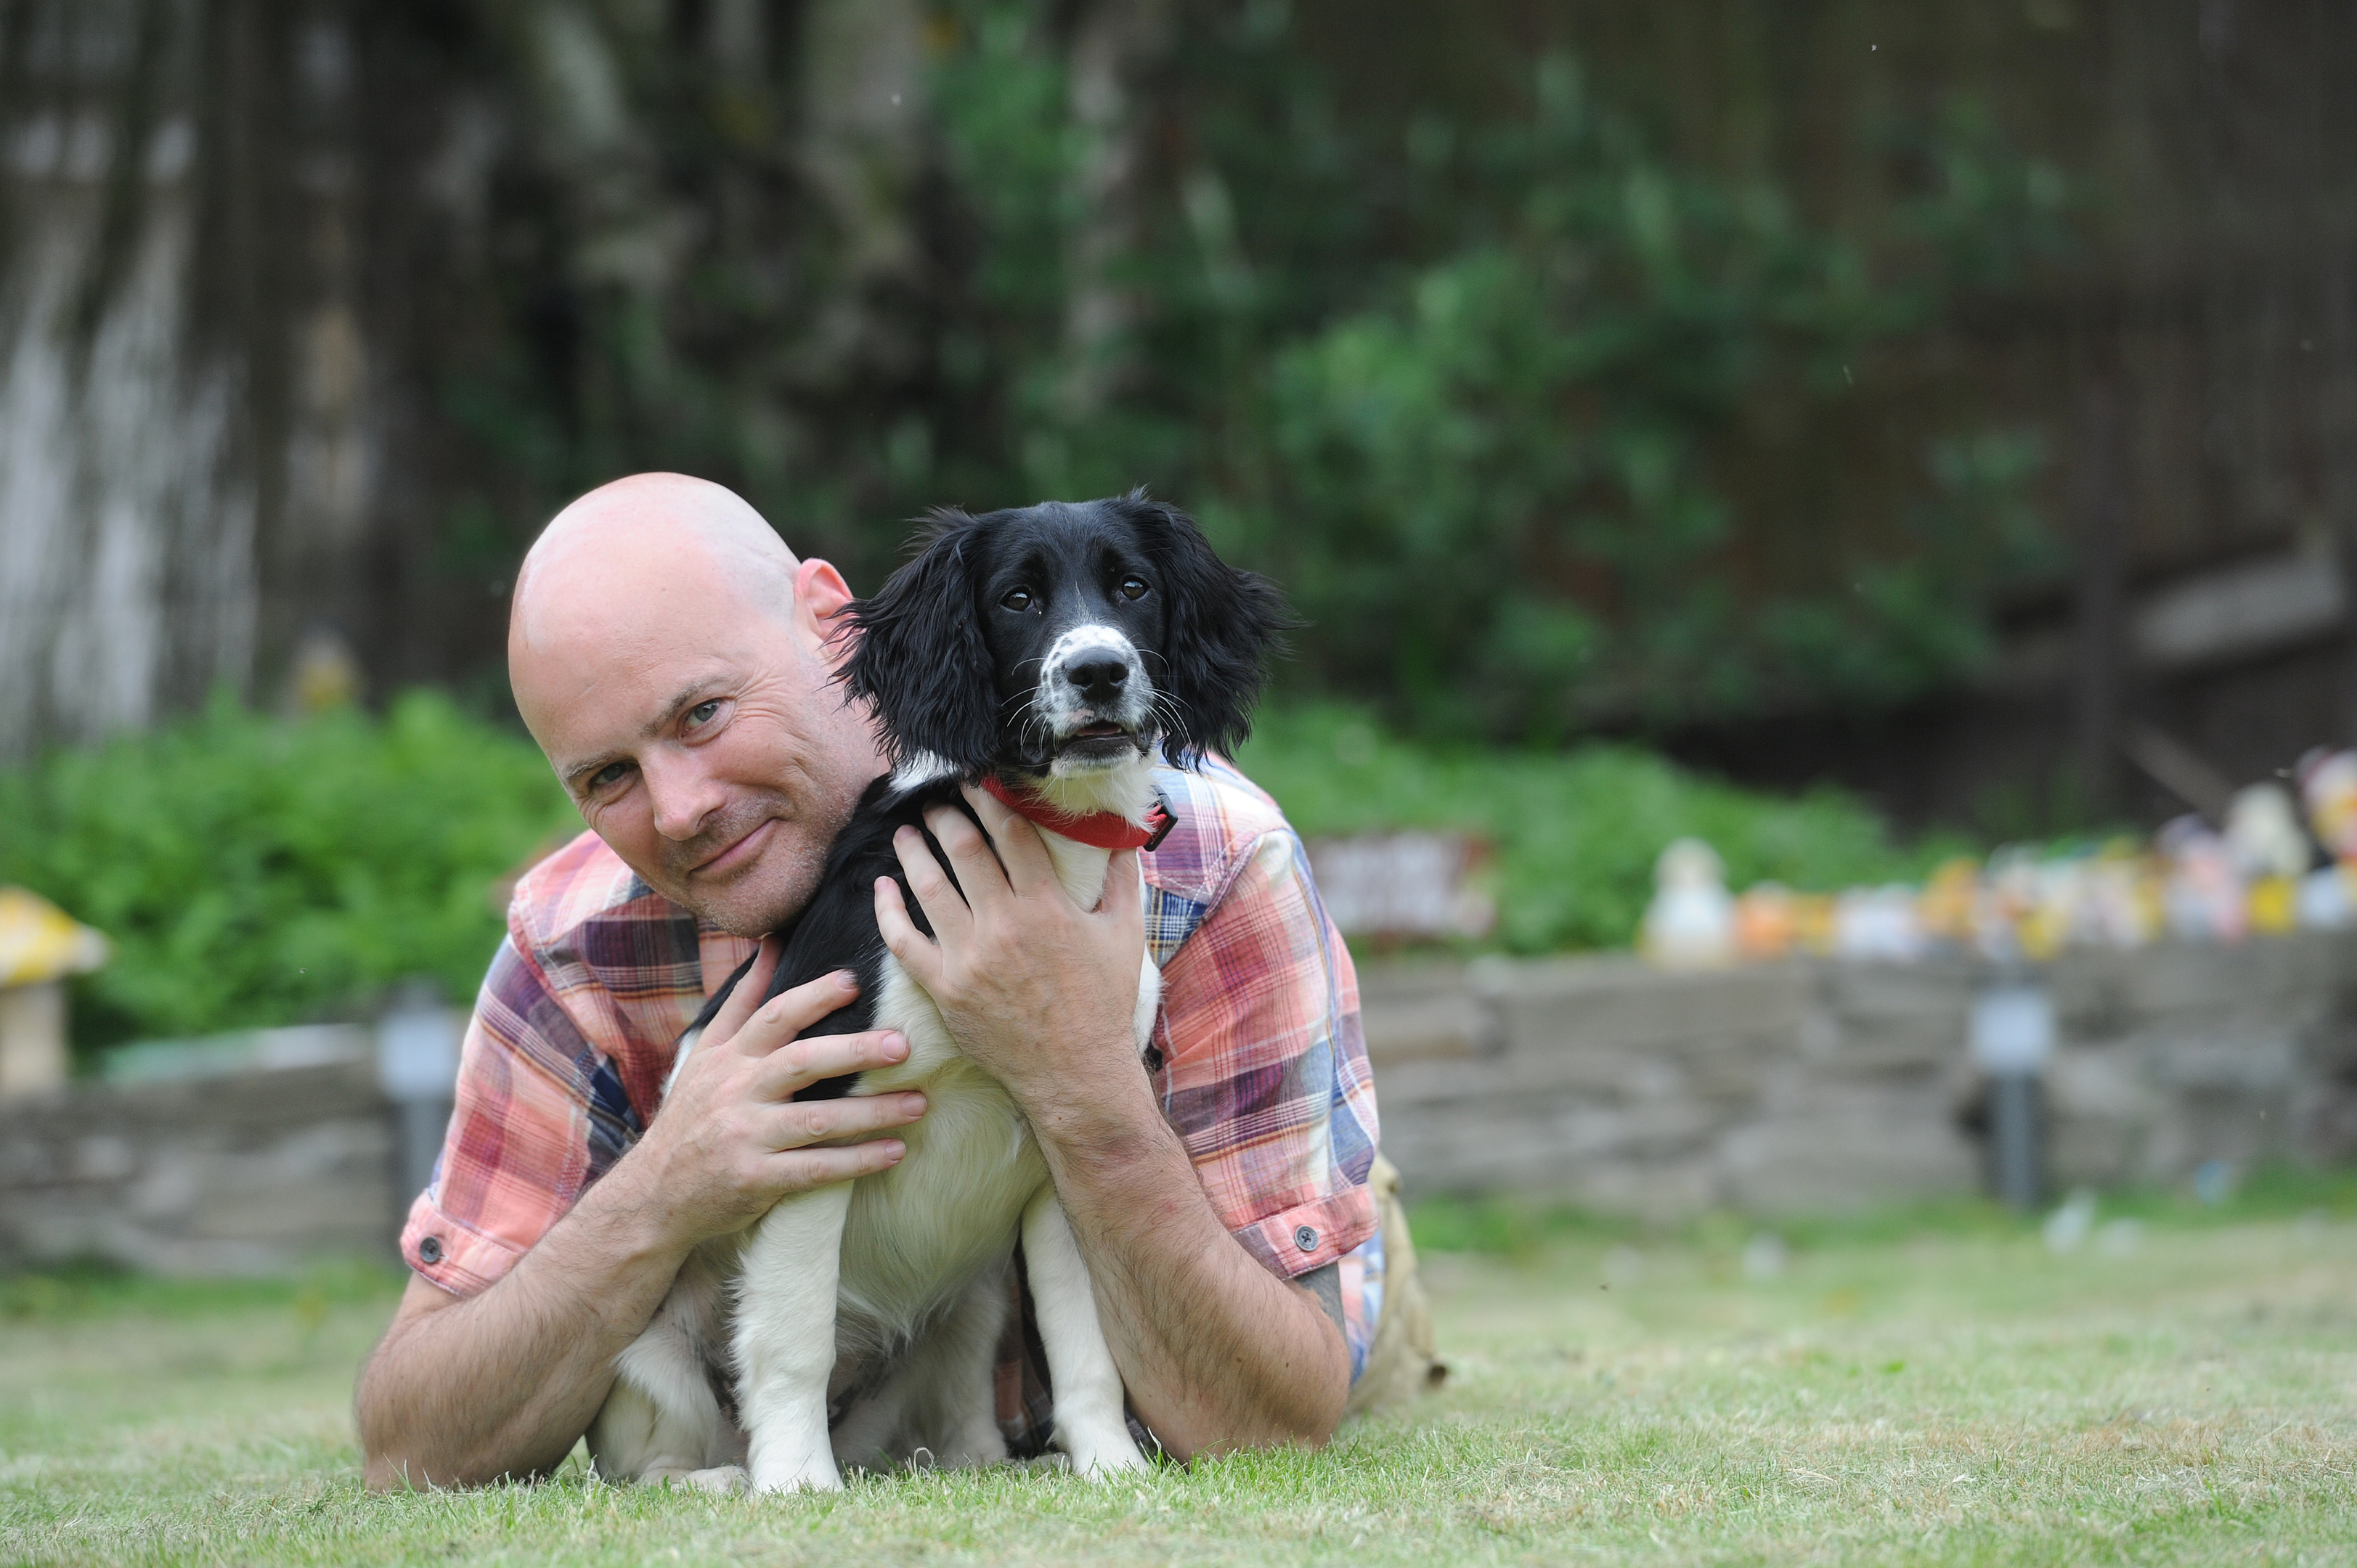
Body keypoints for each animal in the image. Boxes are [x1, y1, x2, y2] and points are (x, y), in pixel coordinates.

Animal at [585, 490, 1291, 1490]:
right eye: (1016, 598)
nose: (1100, 671)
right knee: (658, 1456)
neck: (1046, 839)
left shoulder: (1073, 1143)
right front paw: (795, 1482)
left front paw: (1110, 1466)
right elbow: (792, 1330)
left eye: (1133, 587)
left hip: (970, 1306)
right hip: (651, 1361)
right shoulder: (809, 1106)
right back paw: (730, 1476)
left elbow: (1085, 1343)